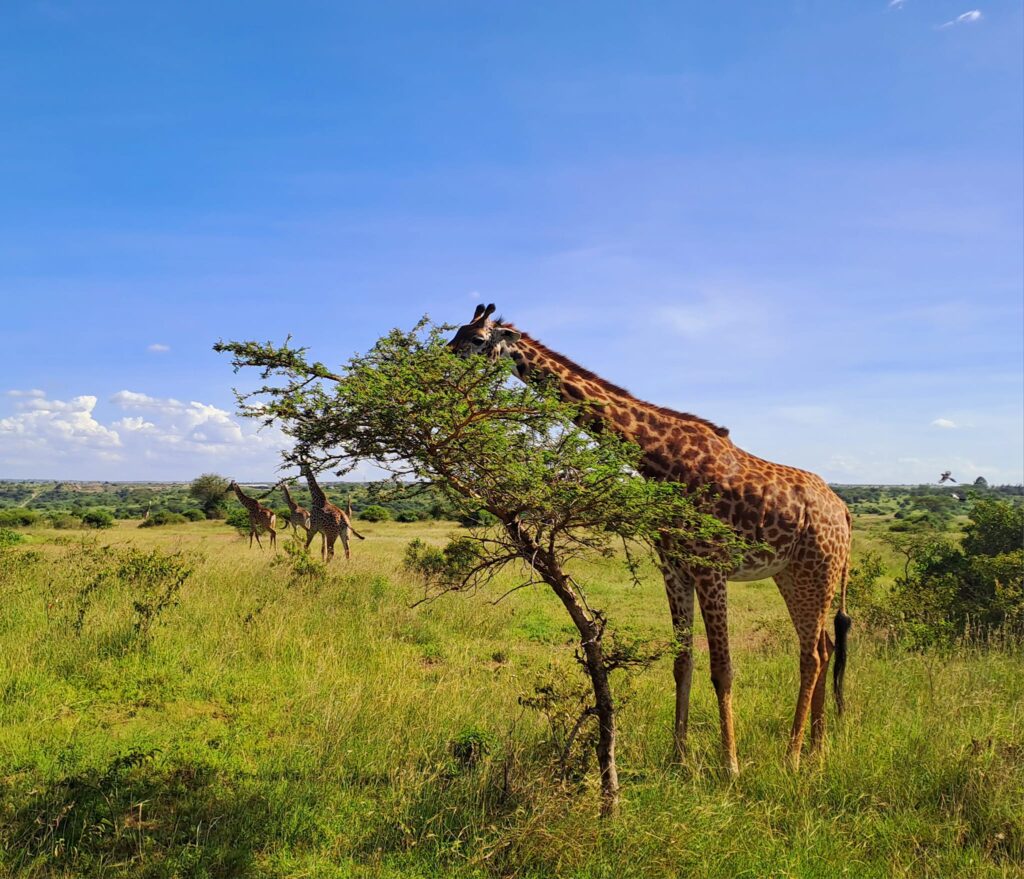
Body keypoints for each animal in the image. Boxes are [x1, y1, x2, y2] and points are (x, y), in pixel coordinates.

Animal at [452, 305, 851, 770]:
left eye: (478, 339)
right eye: (458, 332)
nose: (445, 356)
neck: (658, 458)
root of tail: (843, 511)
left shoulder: (709, 568)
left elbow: (723, 669)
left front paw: (730, 766)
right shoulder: (673, 567)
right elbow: (682, 662)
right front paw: (679, 758)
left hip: (815, 570)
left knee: (812, 654)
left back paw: (793, 756)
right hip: (792, 574)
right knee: (825, 646)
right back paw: (818, 748)